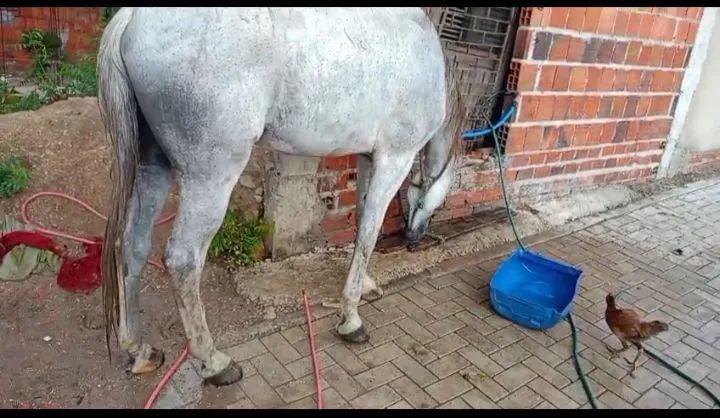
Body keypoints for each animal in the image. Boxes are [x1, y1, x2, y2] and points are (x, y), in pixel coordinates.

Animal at [97, 7, 468, 386]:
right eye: (435, 204)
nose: (414, 238)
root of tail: (130, 20)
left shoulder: (369, 158)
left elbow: (363, 221)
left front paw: (364, 285)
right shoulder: (395, 159)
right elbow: (369, 233)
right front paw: (351, 318)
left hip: (153, 165)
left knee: (132, 245)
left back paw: (139, 350)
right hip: (209, 180)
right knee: (183, 260)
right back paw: (215, 362)